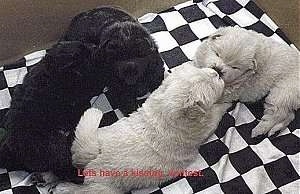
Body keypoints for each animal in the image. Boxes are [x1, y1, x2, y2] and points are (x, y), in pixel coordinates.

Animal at [51, 63, 230, 193]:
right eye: (211, 84)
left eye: (200, 69)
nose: (217, 70)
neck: (164, 110)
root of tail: (90, 154)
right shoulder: (204, 126)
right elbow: (216, 113)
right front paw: (227, 101)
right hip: (102, 187)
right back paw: (63, 187)